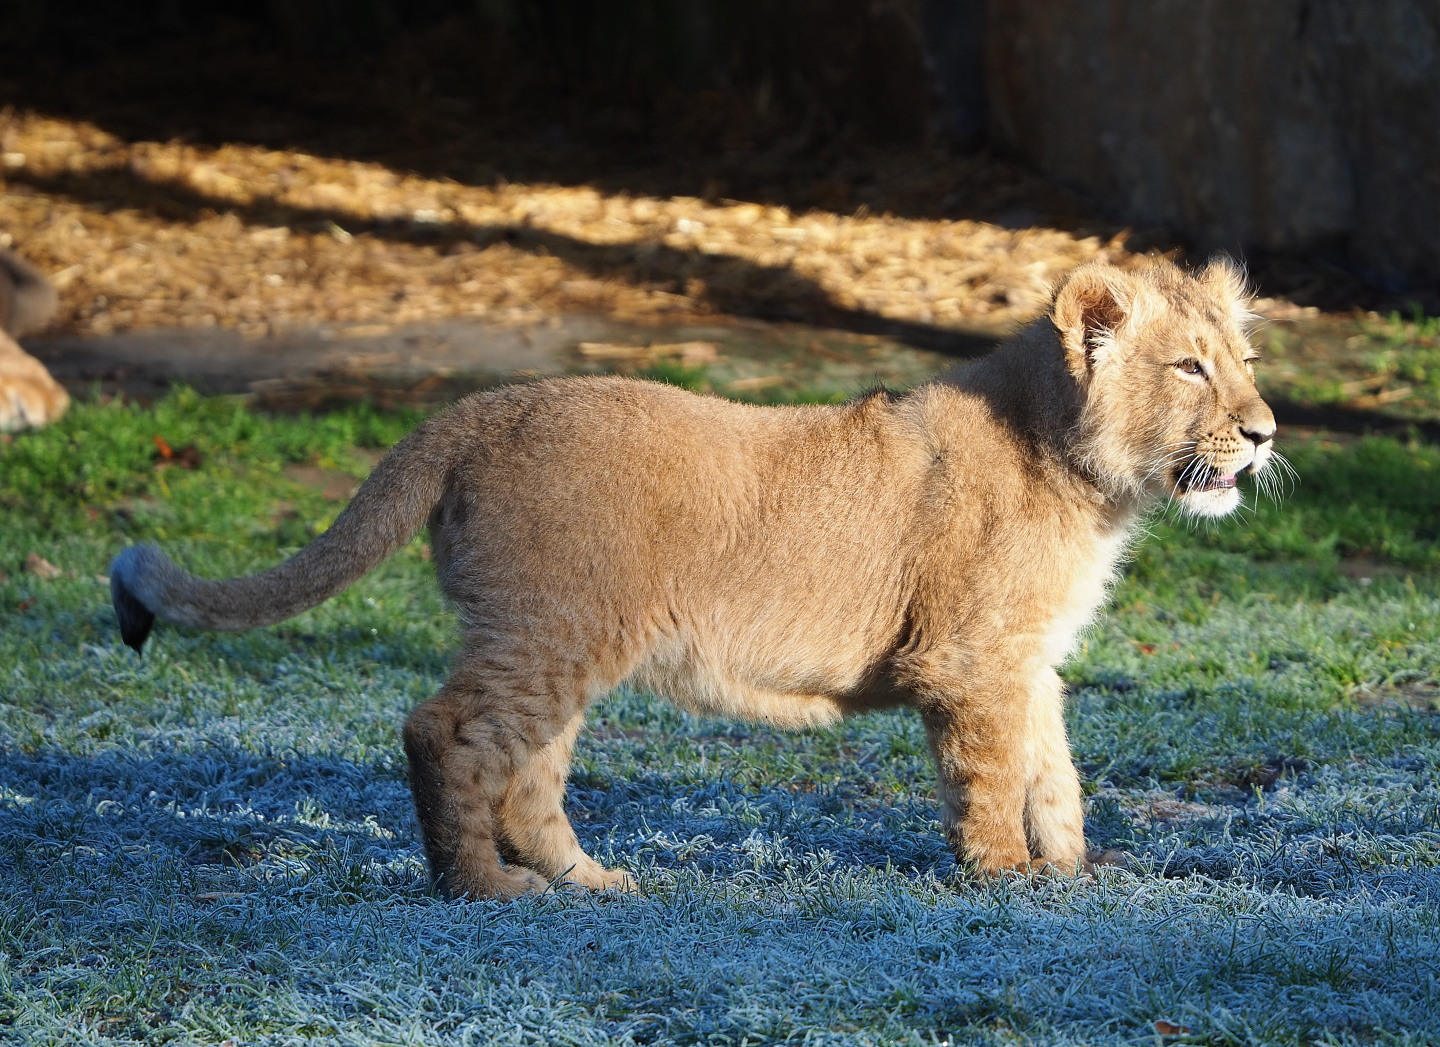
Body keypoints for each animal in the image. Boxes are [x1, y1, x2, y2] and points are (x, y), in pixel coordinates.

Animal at [109, 257, 1276, 899]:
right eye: (1189, 368)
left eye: (1247, 363)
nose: (1267, 432)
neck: (1090, 481)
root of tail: (472, 410)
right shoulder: (969, 659)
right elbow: (992, 777)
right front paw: (1001, 877)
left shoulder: (1029, 661)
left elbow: (1055, 773)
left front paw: (1071, 874)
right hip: (552, 629)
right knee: (444, 733)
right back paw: (479, 890)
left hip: (559, 638)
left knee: (525, 772)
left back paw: (586, 884)